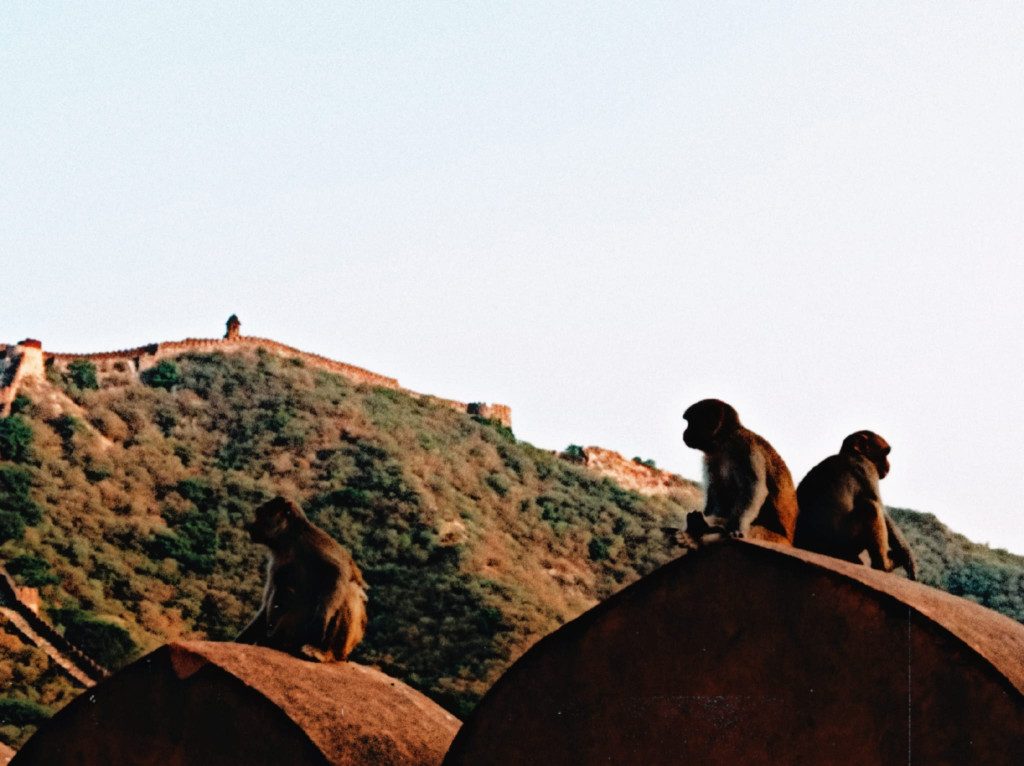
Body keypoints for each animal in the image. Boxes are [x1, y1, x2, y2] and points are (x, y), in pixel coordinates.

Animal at [235, 499, 368, 659]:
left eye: (261, 515)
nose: (252, 526)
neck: (289, 541)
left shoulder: (311, 540)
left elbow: (340, 572)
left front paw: (320, 623)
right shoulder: (276, 560)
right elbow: (268, 600)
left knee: (349, 591)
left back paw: (325, 652)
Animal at [684, 397, 802, 548]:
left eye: (690, 423)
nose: (685, 432)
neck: (724, 439)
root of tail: (790, 542)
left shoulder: (743, 444)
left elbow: (754, 488)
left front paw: (737, 527)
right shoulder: (711, 456)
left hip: (777, 539)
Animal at [790, 430, 921, 581]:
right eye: (885, 453)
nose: (889, 465)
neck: (852, 453)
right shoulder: (866, 467)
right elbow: (881, 509)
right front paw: (907, 556)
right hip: (844, 543)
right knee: (871, 507)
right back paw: (883, 565)